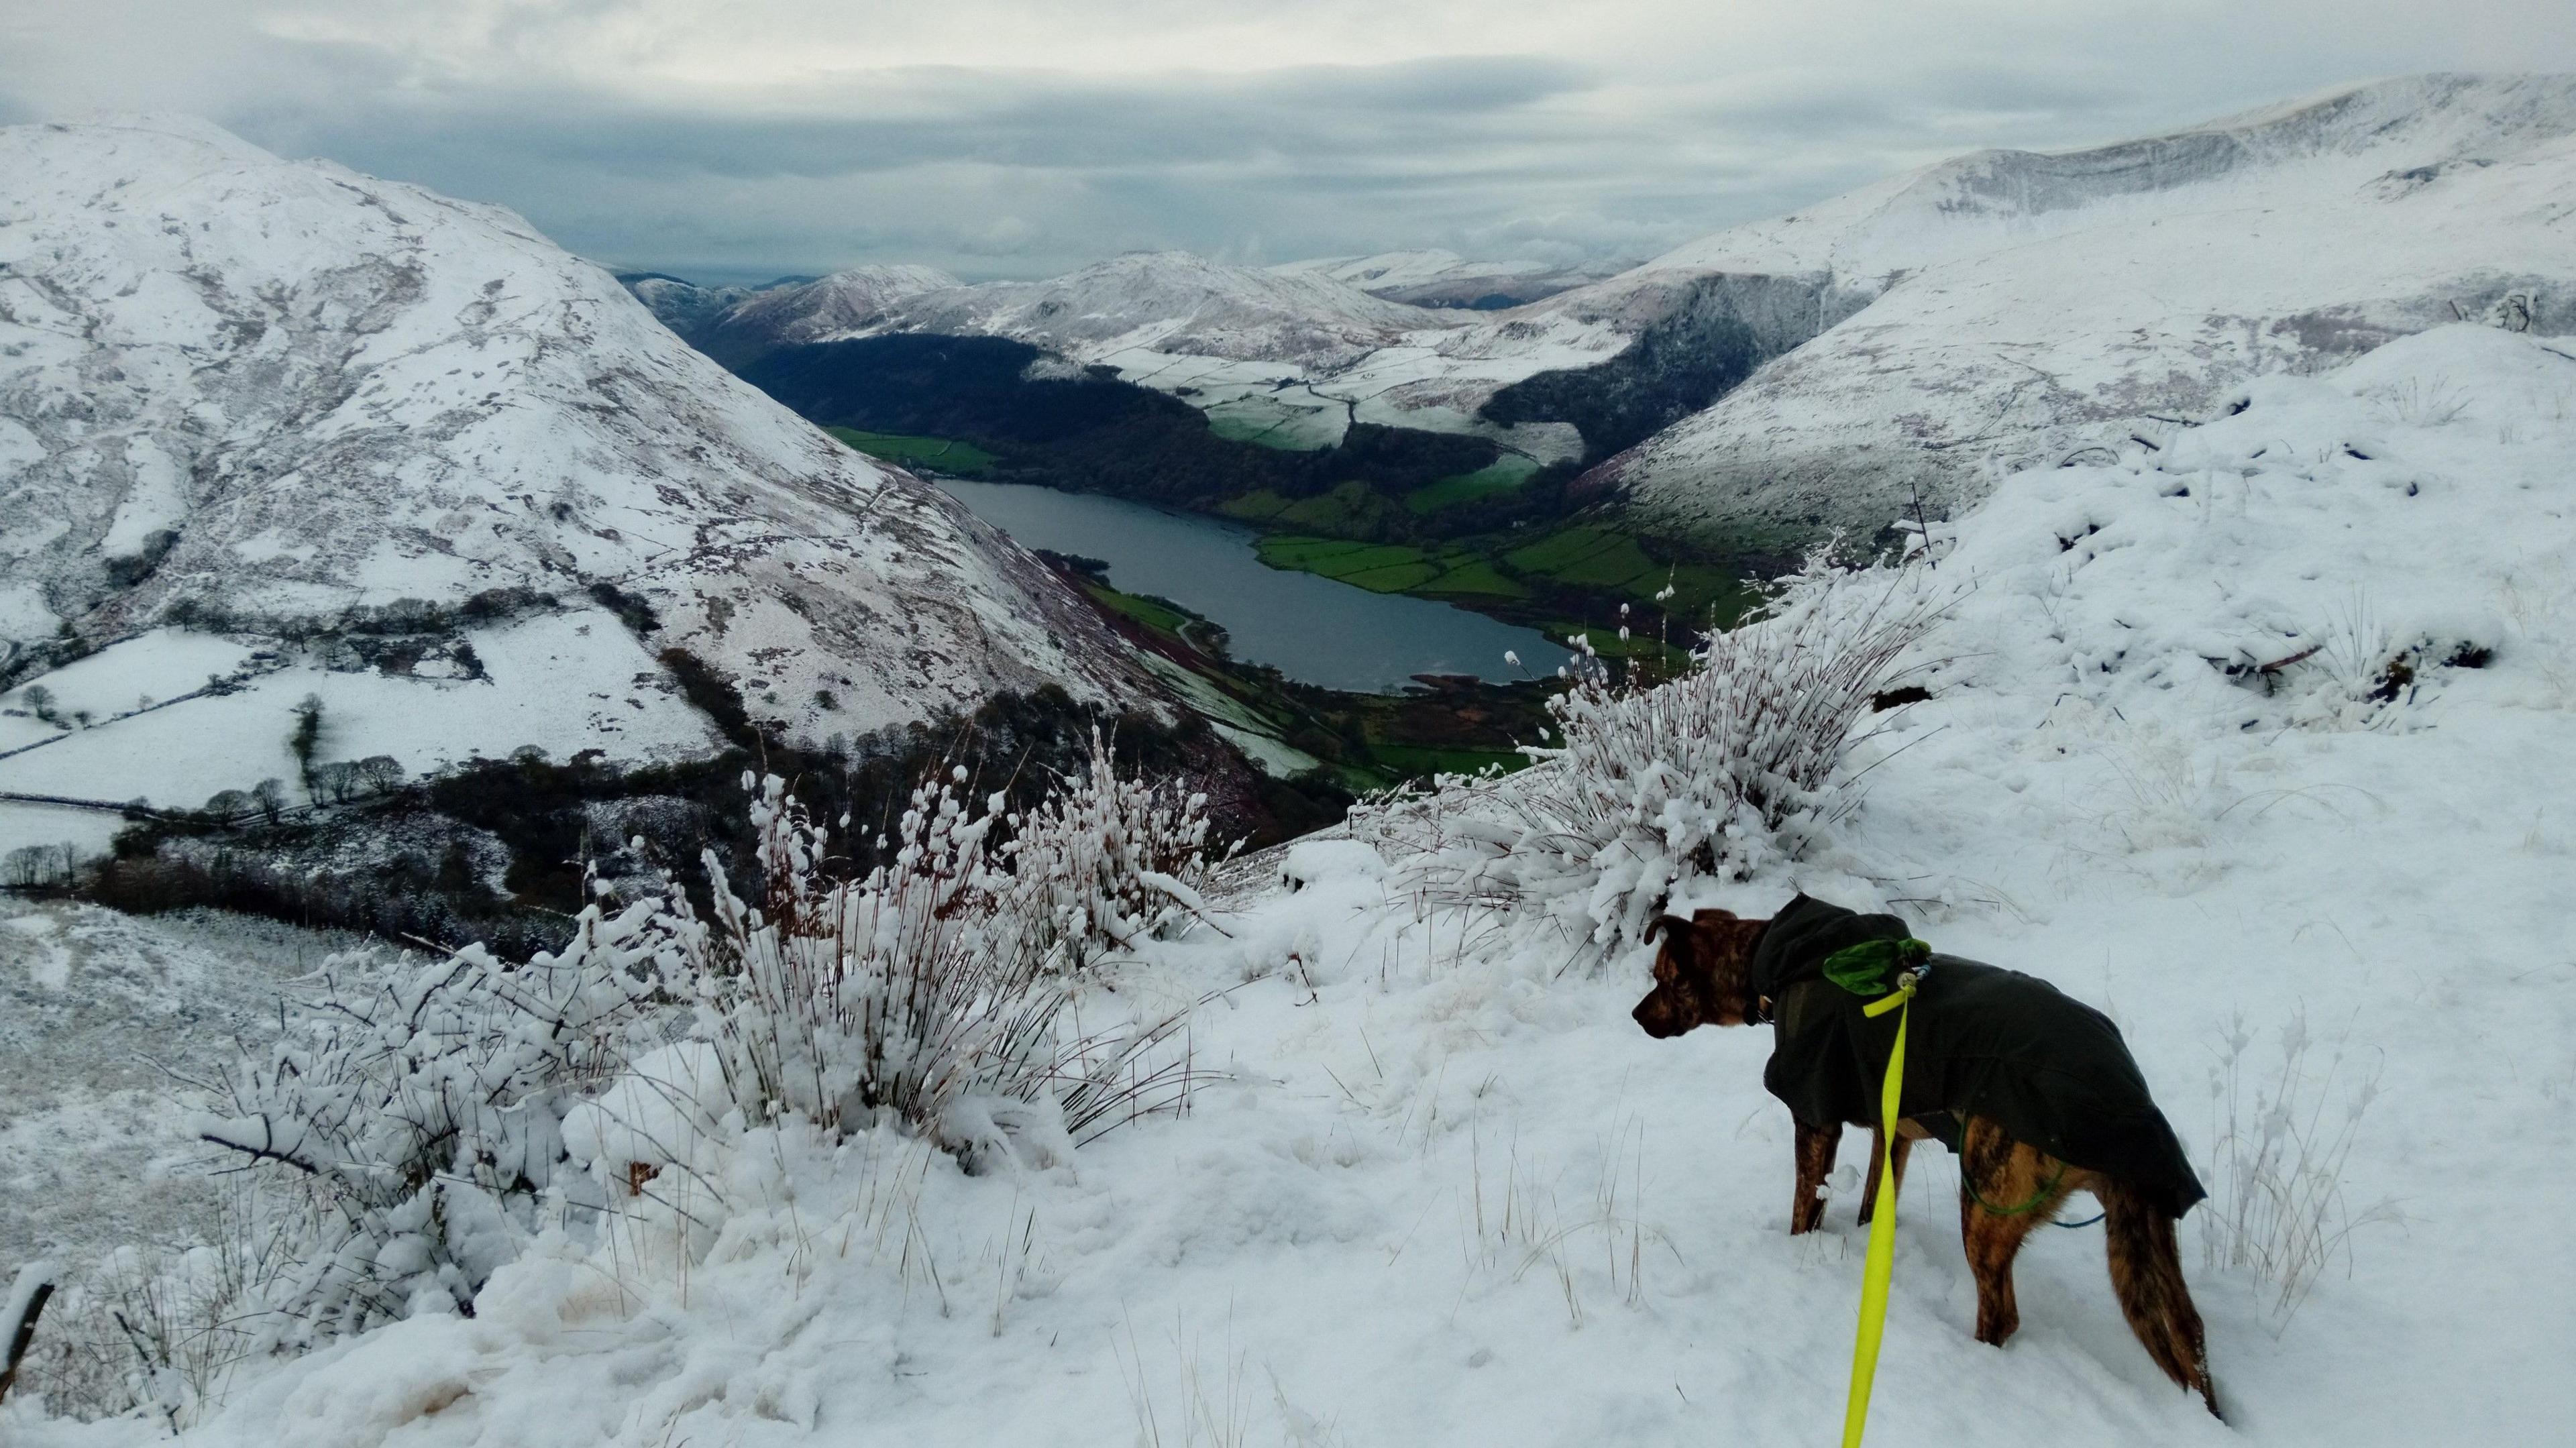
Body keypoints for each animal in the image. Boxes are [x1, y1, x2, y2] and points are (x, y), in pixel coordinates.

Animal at [1638, 891, 2225, 1412]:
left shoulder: (1815, 1120)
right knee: (2190, 1332)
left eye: (1664, 979)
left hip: (1987, 1203)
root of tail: (2127, 1096)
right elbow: (1873, 1201)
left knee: (2002, 1313)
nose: (1636, 1015)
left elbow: (1806, 1207)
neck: (1772, 957)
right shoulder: (1891, 1131)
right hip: (2143, 1236)